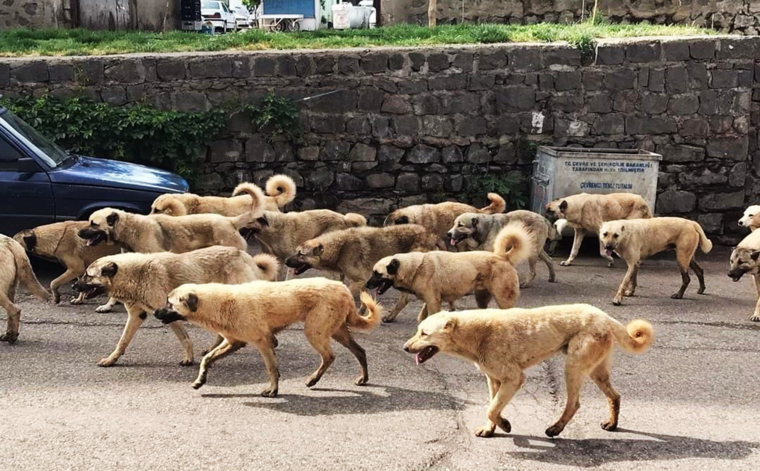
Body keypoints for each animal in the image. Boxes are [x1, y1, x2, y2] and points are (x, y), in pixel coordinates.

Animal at [75, 245, 280, 370]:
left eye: (87, 276)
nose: (74, 286)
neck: (136, 273)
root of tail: (245, 256)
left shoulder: (168, 314)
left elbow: (185, 338)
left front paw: (188, 359)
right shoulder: (137, 315)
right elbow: (123, 340)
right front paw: (112, 359)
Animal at [154, 280, 382, 398]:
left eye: (169, 303)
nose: (155, 312)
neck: (218, 302)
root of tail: (343, 288)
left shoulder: (263, 342)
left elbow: (272, 368)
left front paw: (273, 390)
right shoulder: (234, 342)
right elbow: (207, 358)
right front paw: (200, 380)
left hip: (315, 331)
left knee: (330, 356)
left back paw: (313, 379)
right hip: (336, 331)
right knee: (360, 351)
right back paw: (363, 379)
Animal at [284, 225, 440, 320]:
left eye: (300, 254)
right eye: (297, 251)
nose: (285, 261)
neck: (340, 249)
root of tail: (432, 235)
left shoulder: (359, 280)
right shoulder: (364, 281)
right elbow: (364, 300)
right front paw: (362, 315)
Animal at [404, 306, 652, 438]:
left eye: (424, 333)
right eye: (418, 331)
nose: (405, 348)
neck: (477, 334)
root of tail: (605, 316)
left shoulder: (514, 378)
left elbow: (491, 409)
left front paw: (504, 425)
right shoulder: (493, 379)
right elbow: (492, 407)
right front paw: (491, 429)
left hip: (573, 367)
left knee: (574, 404)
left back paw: (555, 429)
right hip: (596, 372)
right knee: (615, 396)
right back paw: (612, 424)